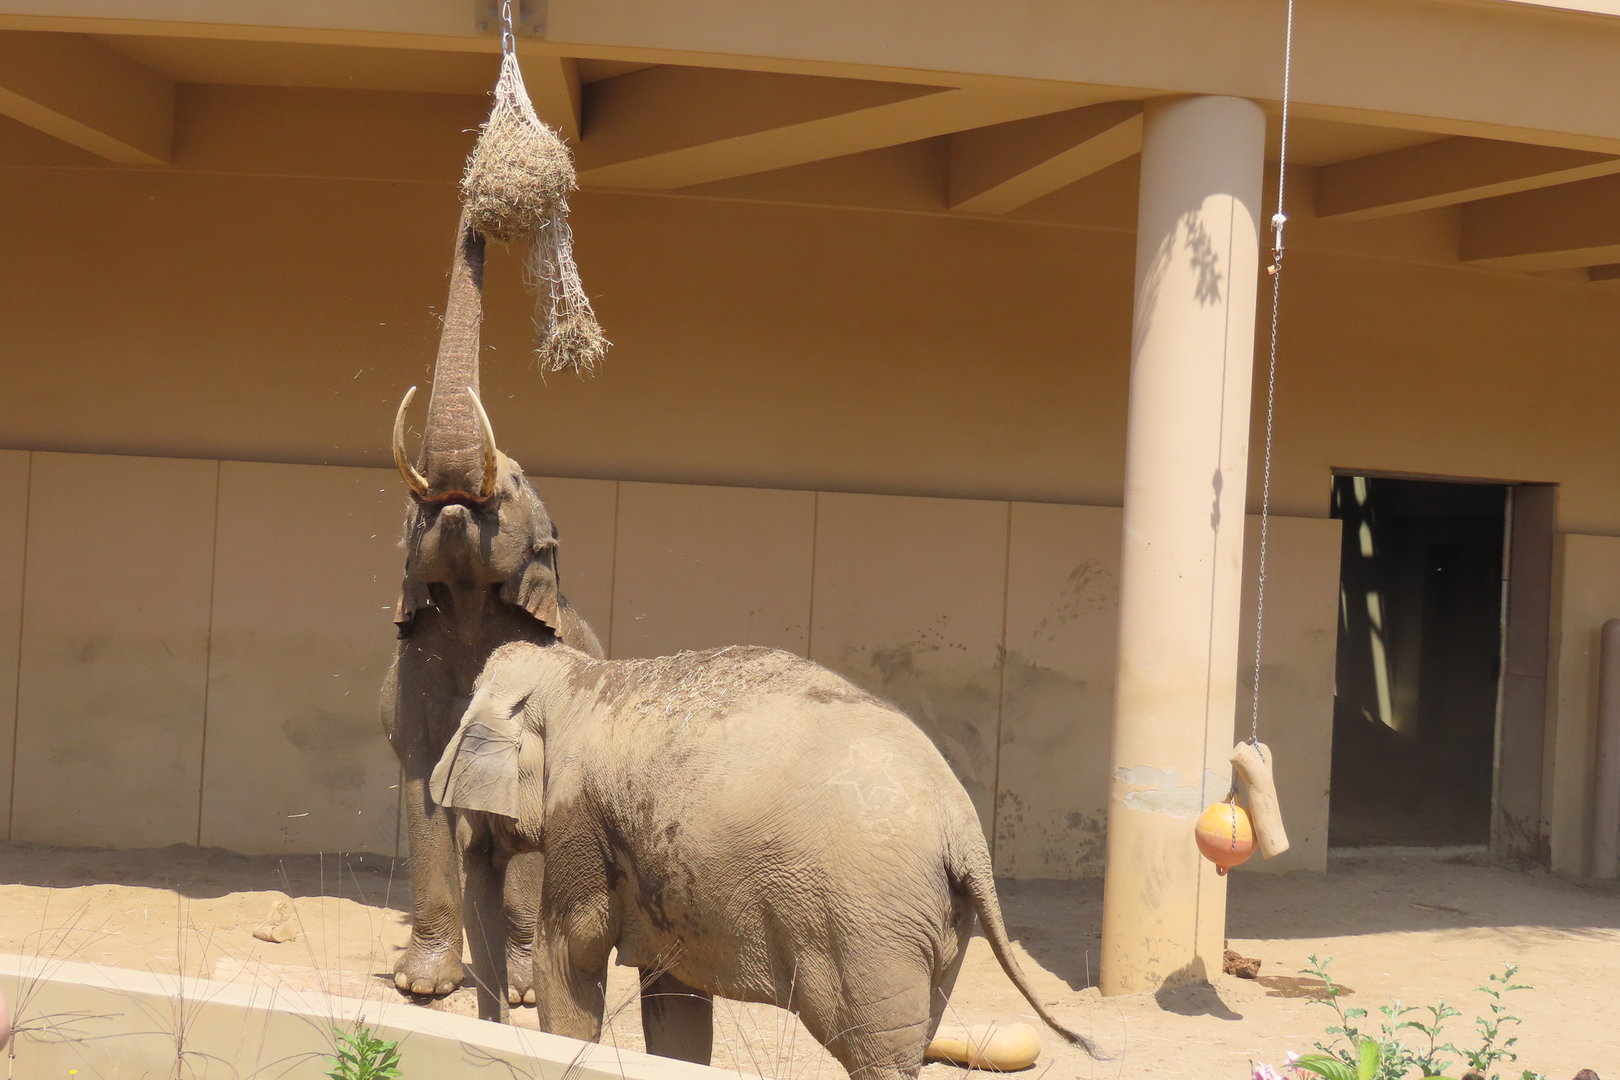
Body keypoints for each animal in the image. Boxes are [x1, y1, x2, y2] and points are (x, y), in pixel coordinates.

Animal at [382, 208, 604, 1016]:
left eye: (508, 486)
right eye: (413, 512)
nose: (482, 216)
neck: (473, 607)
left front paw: (526, 994)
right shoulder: (414, 670)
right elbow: (422, 784)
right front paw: (422, 988)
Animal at [429, 640, 1104, 1079]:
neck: (579, 678)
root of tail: (963, 830)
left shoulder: (581, 819)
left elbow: (571, 956)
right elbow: (675, 996)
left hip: (866, 923)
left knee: (873, 1045)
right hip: (941, 921)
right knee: (910, 1036)